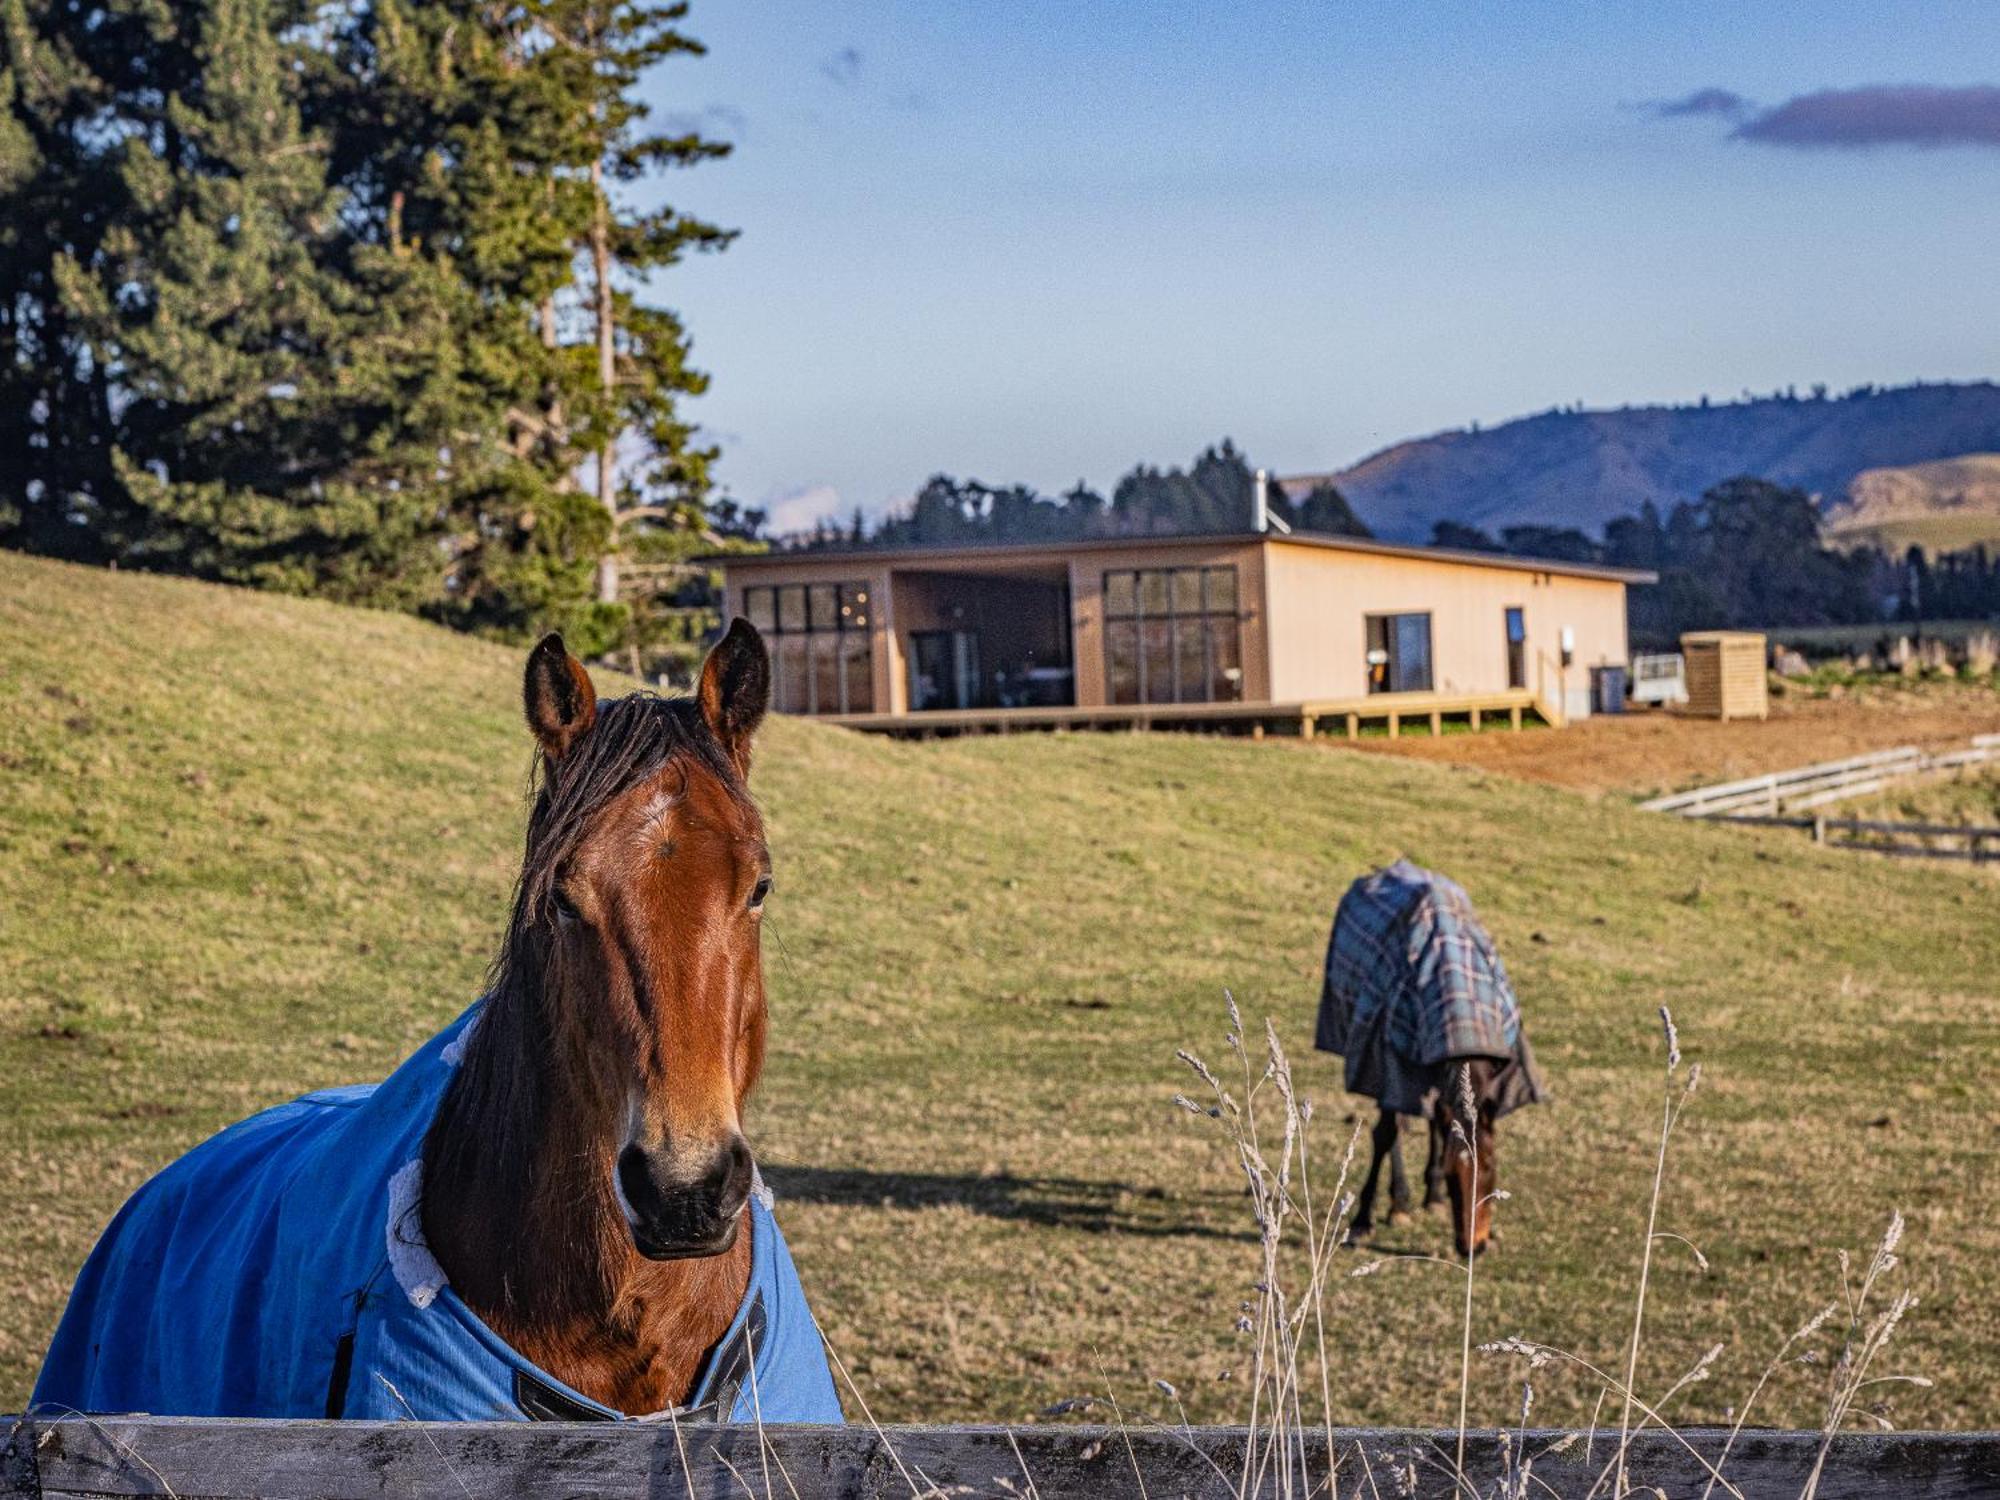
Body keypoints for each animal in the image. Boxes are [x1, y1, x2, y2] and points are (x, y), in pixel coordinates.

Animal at [1312, 856, 1544, 1256]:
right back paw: (1399, 1201)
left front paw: (1435, 1194)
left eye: (1490, 1169)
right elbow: (1386, 1134)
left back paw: (1427, 1195)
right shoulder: (1390, 1061)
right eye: (1455, 1176)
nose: (1472, 1246)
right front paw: (1364, 1220)